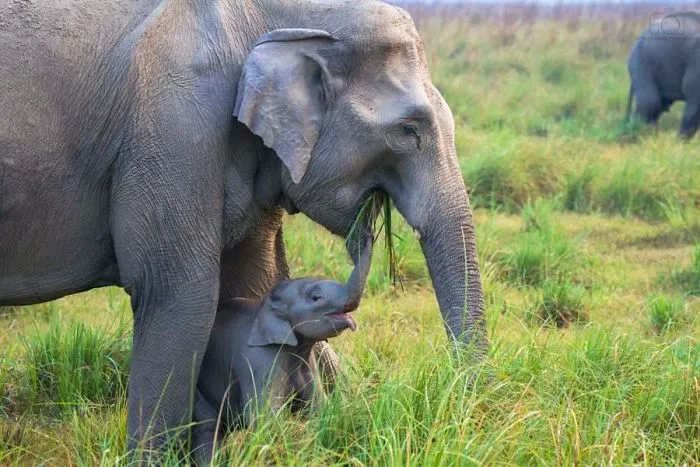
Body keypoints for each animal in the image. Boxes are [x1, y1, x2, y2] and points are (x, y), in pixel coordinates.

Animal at [192, 234, 372, 463]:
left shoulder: (306, 362)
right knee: (207, 427)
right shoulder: (259, 360)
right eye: (316, 297)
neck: (267, 307)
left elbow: (317, 407)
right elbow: (265, 418)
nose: (369, 235)